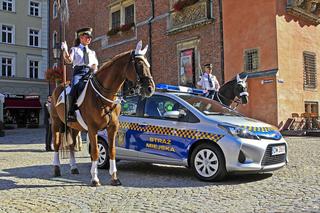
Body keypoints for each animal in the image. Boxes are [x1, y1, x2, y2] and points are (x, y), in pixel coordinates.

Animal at [50, 40, 155, 186]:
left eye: (148, 65)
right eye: (139, 65)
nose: (150, 88)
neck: (104, 96)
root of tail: (58, 87)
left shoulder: (112, 128)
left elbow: (112, 151)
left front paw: (114, 178)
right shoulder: (92, 129)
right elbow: (95, 152)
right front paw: (95, 178)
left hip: (74, 126)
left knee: (71, 145)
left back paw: (74, 167)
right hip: (57, 123)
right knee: (57, 144)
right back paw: (56, 168)